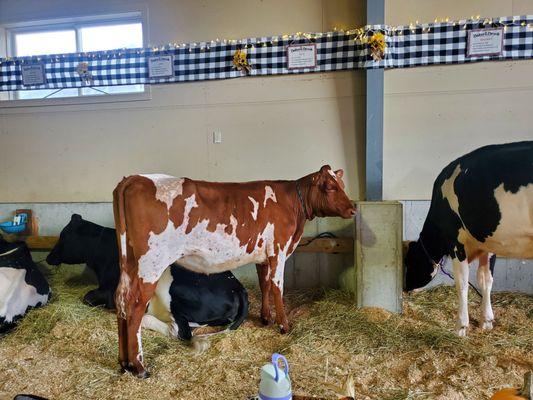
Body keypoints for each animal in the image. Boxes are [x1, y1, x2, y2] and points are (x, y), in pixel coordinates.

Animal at [46, 214, 249, 340]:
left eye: (63, 237)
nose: (48, 257)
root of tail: (236, 285)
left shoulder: (112, 292)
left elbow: (87, 297)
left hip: (174, 290)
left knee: (180, 331)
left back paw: (145, 319)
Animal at [111, 164, 354, 376]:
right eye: (330, 186)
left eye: (342, 183)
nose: (352, 209)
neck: (291, 204)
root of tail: (135, 178)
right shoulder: (278, 250)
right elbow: (277, 287)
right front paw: (283, 325)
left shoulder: (262, 256)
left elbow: (265, 284)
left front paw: (266, 318)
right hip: (151, 264)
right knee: (135, 307)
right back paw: (139, 367)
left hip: (129, 263)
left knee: (121, 302)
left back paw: (124, 363)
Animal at [406, 139, 528, 336]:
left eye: (409, 262)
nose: (405, 287)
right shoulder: (489, 243)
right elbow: (485, 280)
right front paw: (486, 321)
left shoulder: (456, 242)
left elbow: (462, 283)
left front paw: (461, 327)